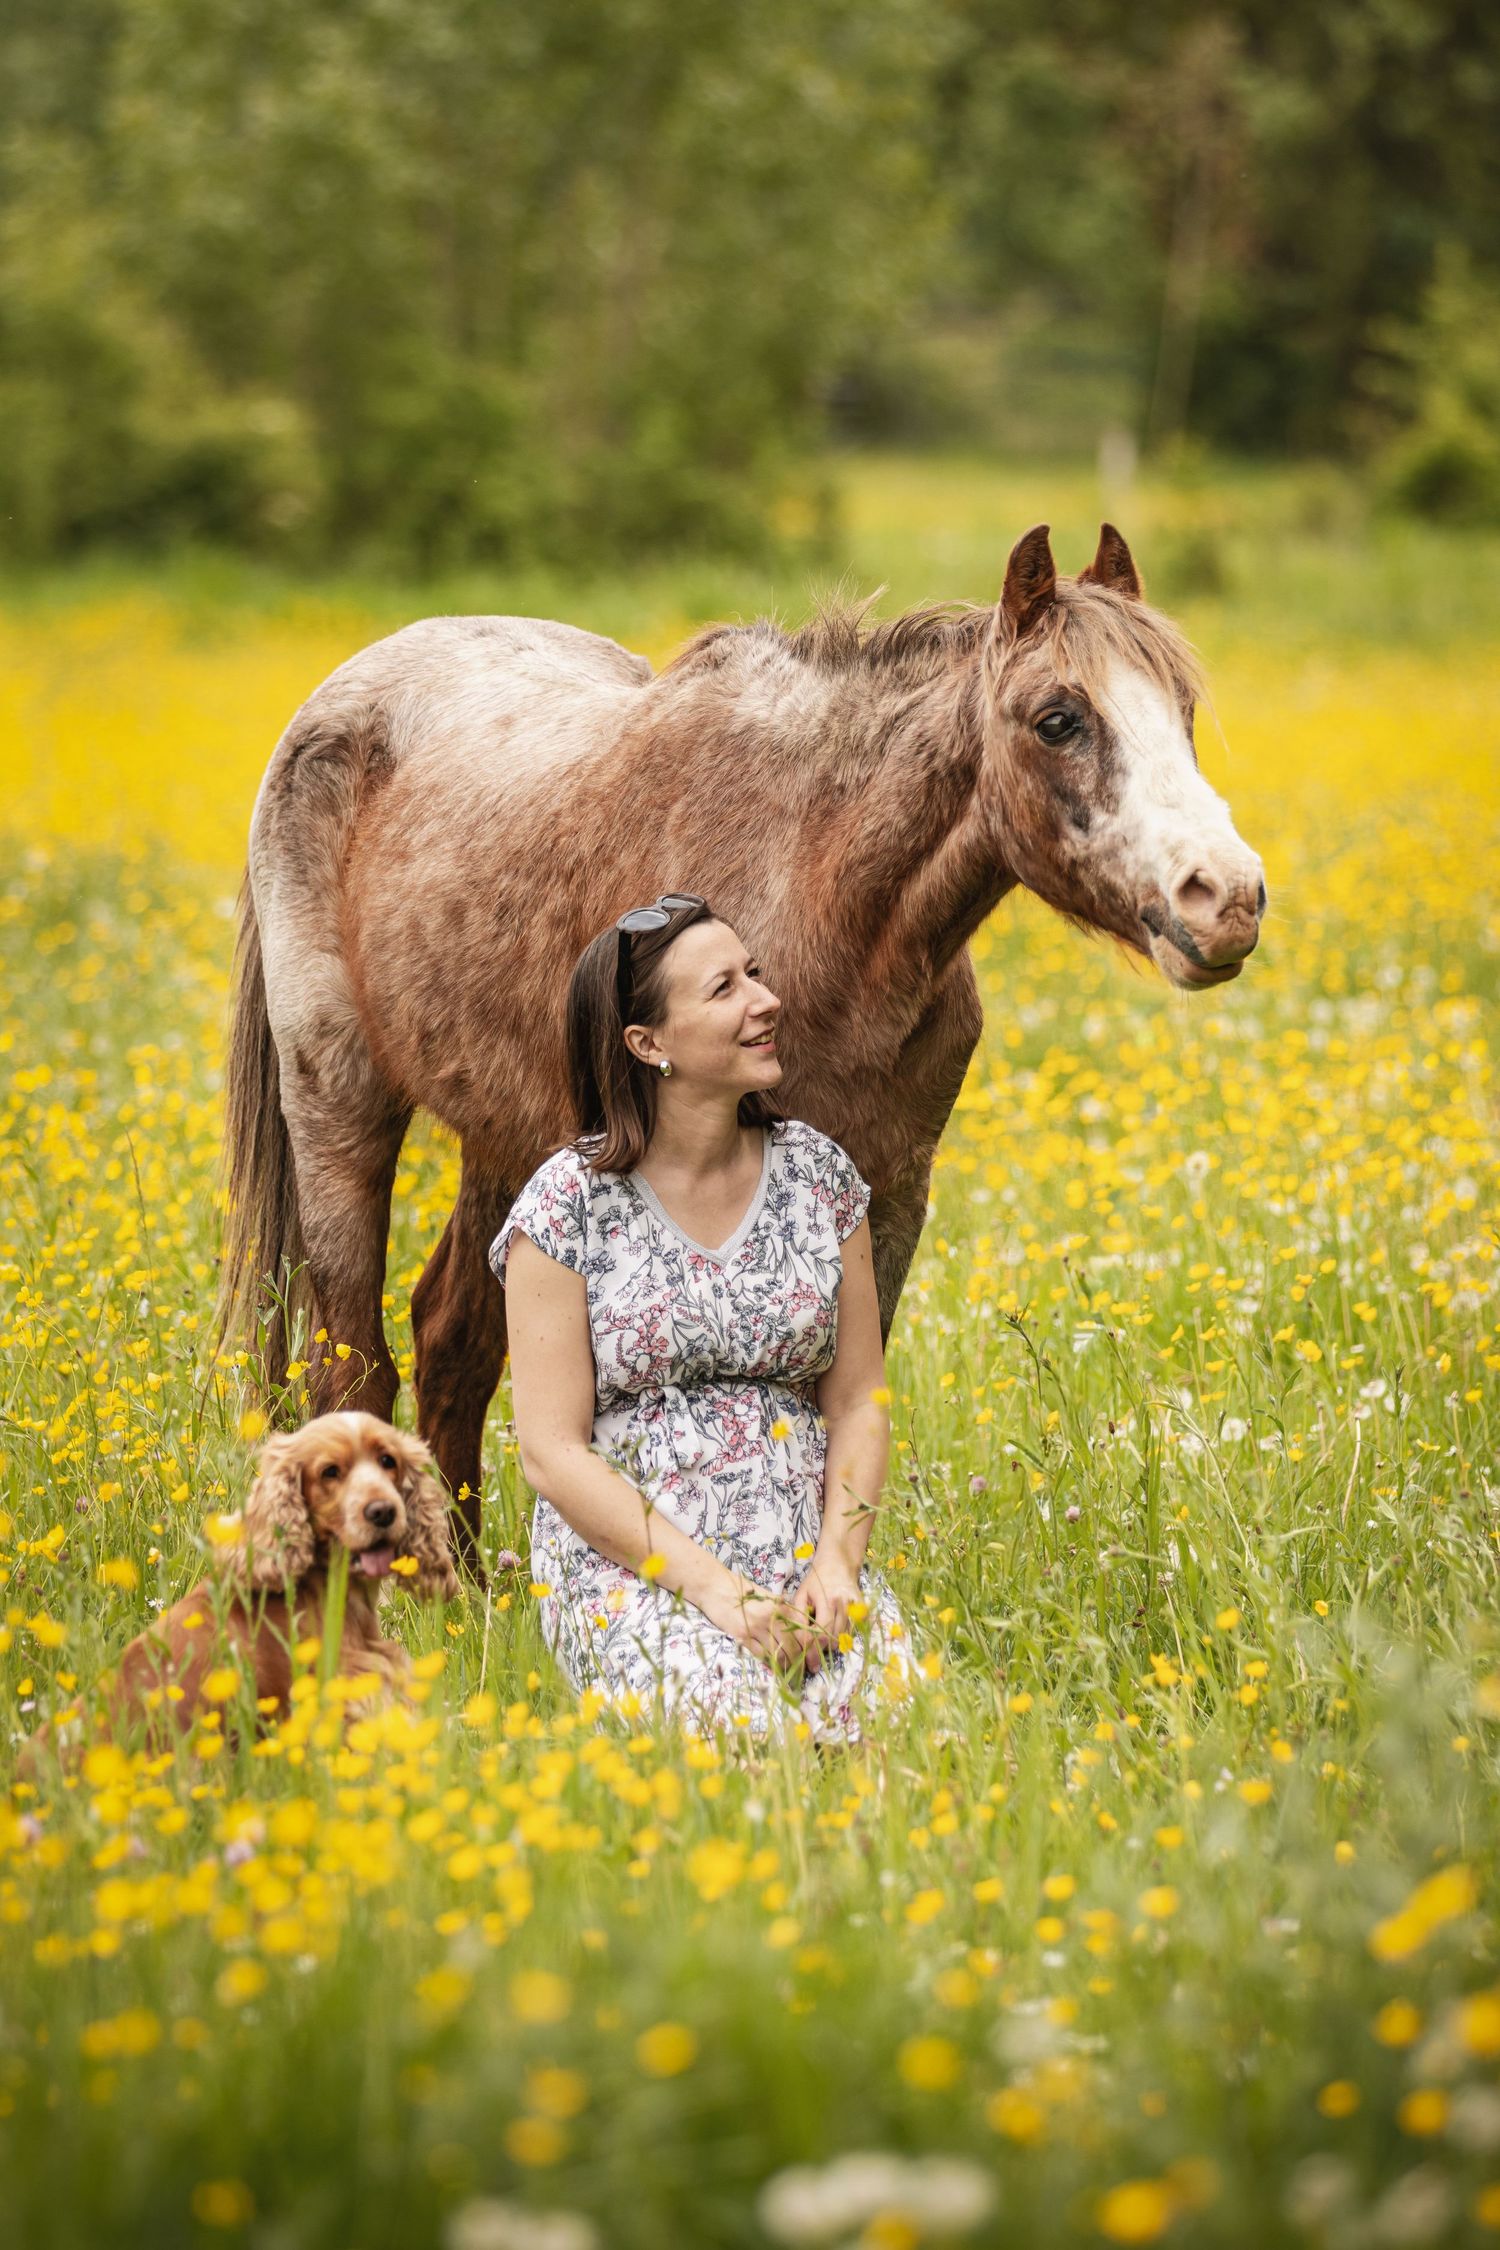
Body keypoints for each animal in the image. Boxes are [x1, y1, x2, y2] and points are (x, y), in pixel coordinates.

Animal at [220, 523, 1266, 1569]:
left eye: (1180, 710)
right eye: (1058, 720)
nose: (1229, 896)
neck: (815, 889)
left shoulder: (885, 1194)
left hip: (507, 1139)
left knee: (452, 1345)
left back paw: (472, 1589)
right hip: (341, 1110)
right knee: (353, 1374)